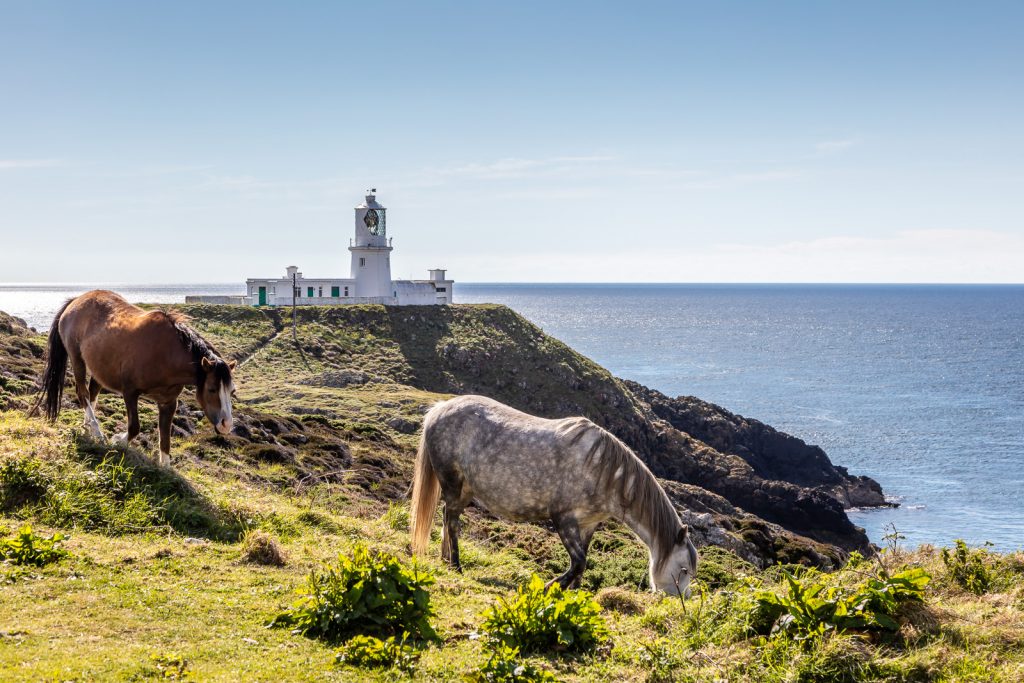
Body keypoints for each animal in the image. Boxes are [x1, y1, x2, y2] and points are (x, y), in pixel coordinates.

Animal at [35, 290, 236, 466]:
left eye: (232, 391)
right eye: (211, 389)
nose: (226, 425)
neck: (166, 354)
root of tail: (75, 301)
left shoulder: (169, 403)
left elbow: (165, 440)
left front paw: (165, 469)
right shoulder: (130, 392)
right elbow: (134, 427)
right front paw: (117, 440)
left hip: (98, 368)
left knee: (92, 393)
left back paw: (88, 427)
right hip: (77, 358)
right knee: (82, 393)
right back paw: (97, 431)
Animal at [407, 395, 696, 598]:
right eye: (683, 570)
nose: (679, 601)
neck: (603, 471)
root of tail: (438, 410)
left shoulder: (588, 525)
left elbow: (582, 564)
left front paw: (574, 595)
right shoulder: (563, 519)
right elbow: (579, 563)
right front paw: (549, 587)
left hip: (465, 489)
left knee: (447, 518)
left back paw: (446, 560)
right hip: (452, 483)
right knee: (452, 521)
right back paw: (456, 565)